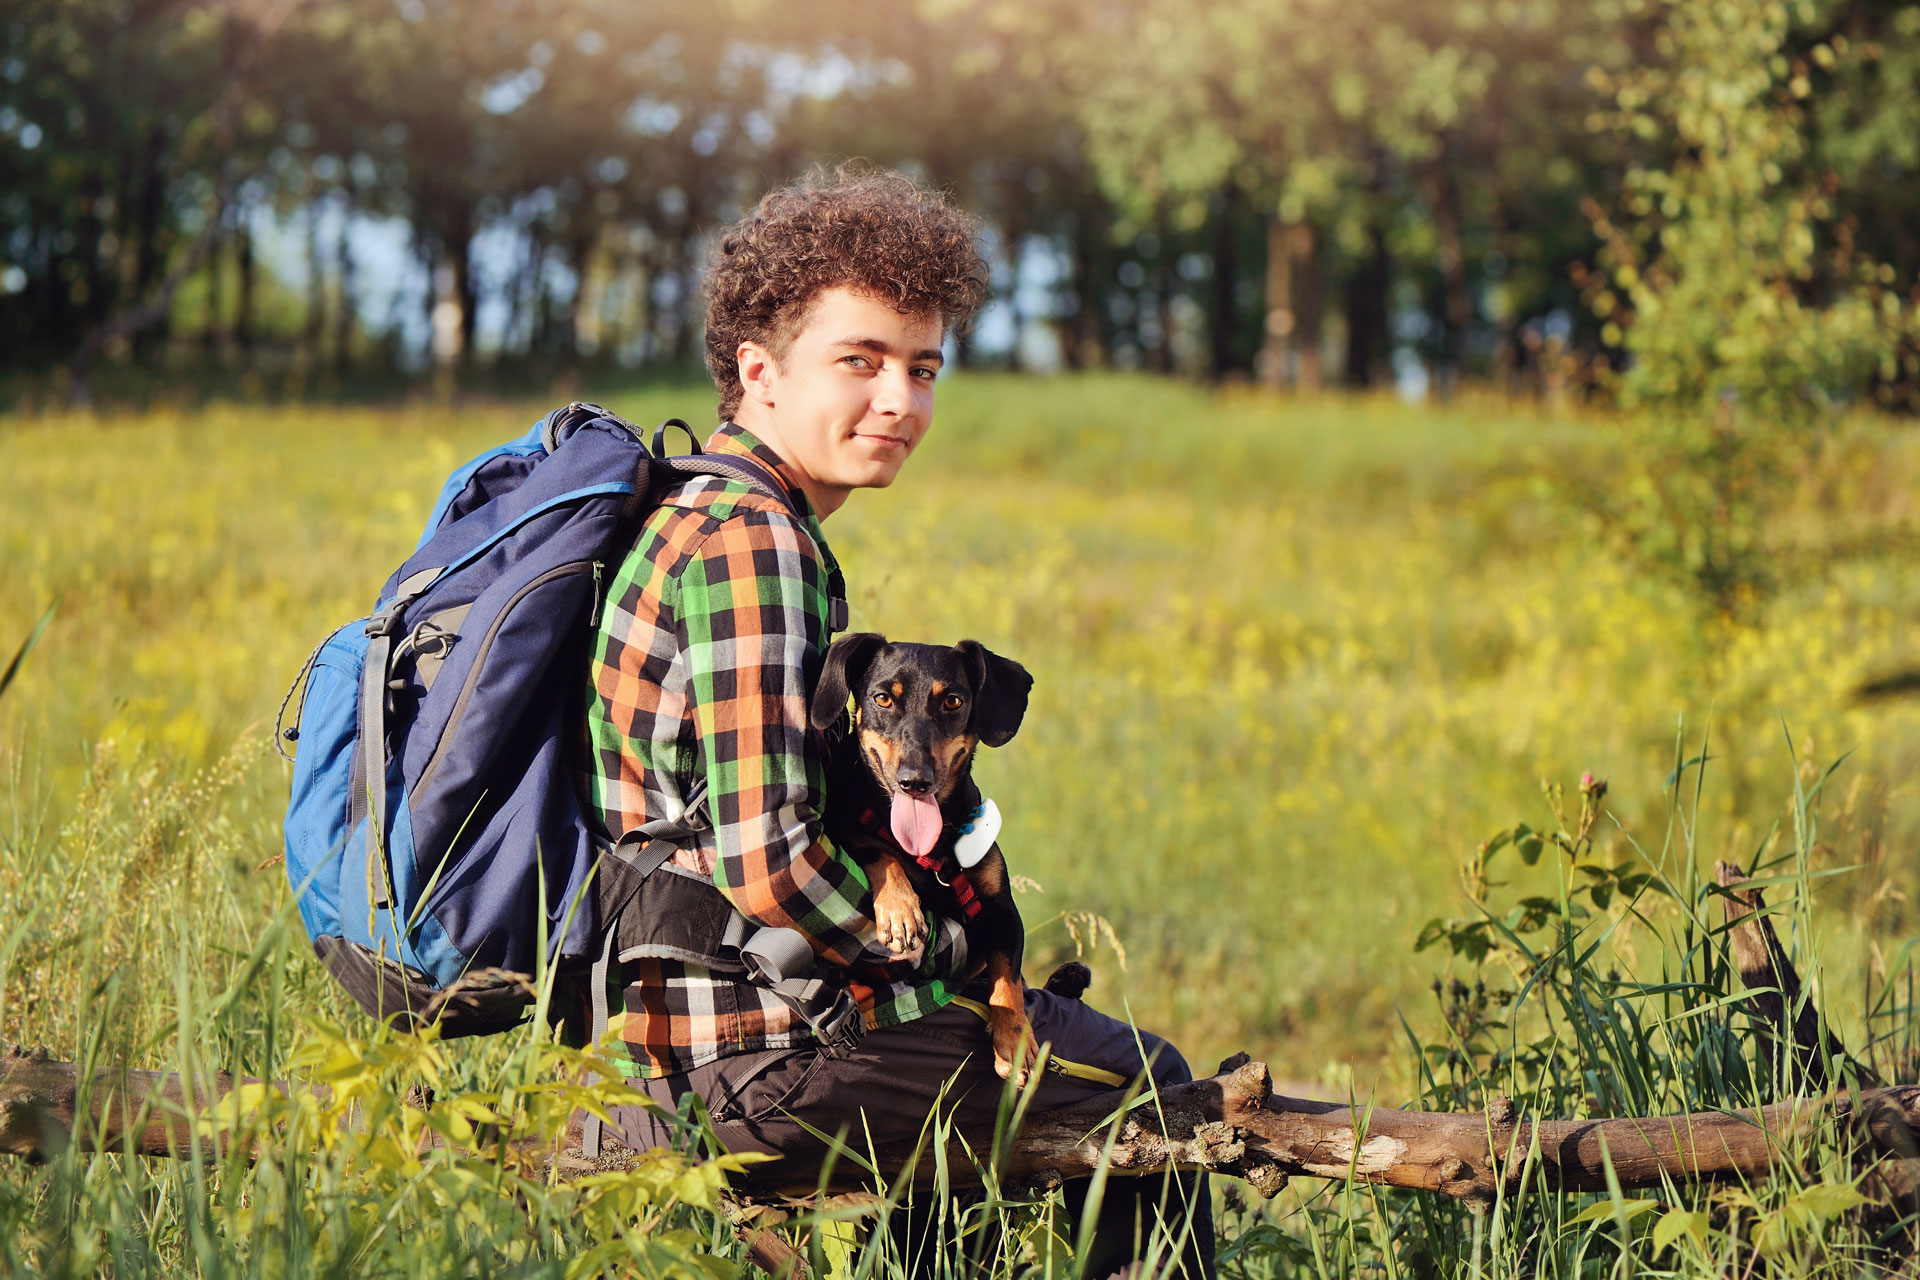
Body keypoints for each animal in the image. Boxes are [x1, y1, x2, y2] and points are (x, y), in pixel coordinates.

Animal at [806, 629, 1036, 1082]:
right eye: (882, 698)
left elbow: (1008, 976)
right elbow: (879, 851)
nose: (915, 781)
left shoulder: (1002, 910)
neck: (935, 850)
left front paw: (1015, 1039)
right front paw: (900, 910)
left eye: (953, 701)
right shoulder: (846, 828)